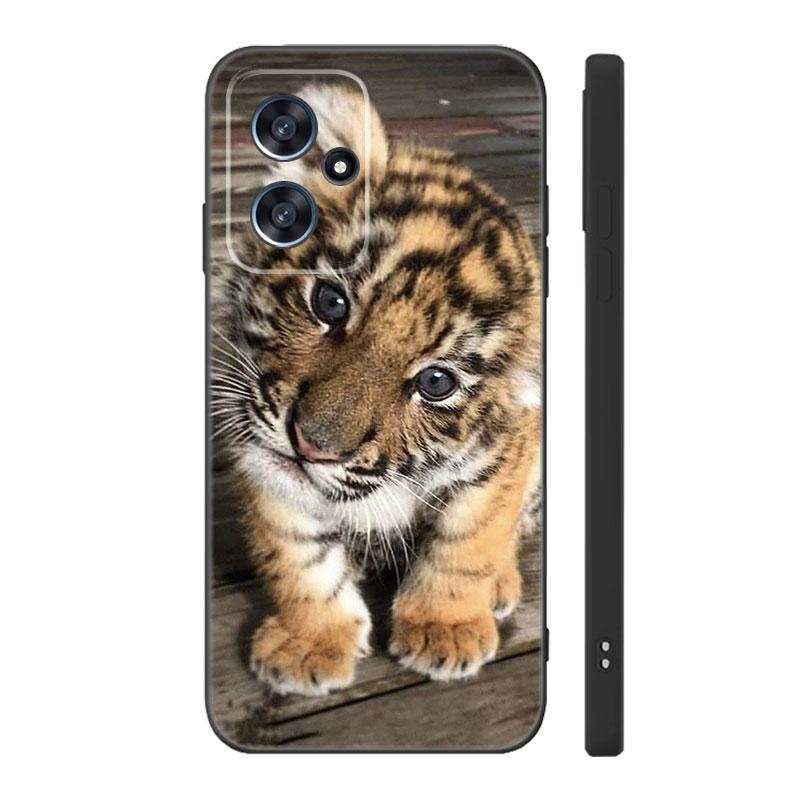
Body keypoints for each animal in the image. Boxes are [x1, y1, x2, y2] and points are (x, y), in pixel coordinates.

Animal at [211, 83, 542, 697]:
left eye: (436, 383)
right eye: (330, 302)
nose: (310, 446)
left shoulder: (504, 455)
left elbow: (470, 540)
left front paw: (445, 628)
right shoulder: (256, 446)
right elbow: (296, 555)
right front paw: (310, 642)